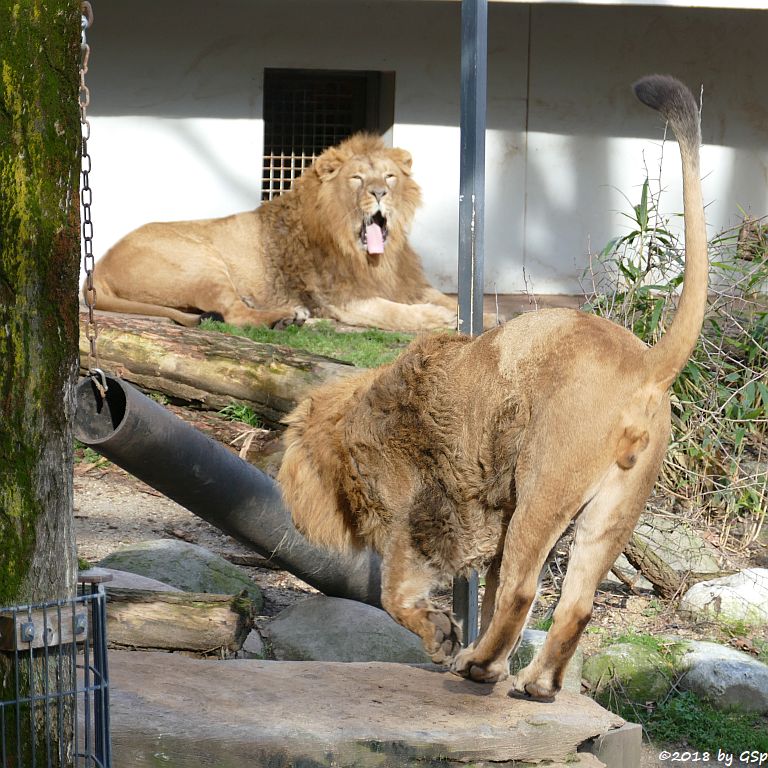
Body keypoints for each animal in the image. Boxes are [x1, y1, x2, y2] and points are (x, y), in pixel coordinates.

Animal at [88, 134, 498, 332]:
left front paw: (487, 316)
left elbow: (449, 298)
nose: (380, 193)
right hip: (201, 263)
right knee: (234, 313)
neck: (371, 256)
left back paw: (302, 319)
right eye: (357, 178)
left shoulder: (404, 283)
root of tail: (98, 266)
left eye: (390, 176)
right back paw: (285, 318)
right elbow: (396, 313)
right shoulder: (343, 297)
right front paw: (439, 320)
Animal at [278, 73, 708, 704]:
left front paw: (441, 637)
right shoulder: (485, 519)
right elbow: (482, 588)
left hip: (543, 485)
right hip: (612, 510)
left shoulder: (414, 515)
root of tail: (644, 363)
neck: (356, 414)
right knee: (574, 604)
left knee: (526, 590)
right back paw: (534, 683)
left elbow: (395, 595)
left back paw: (479, 667)